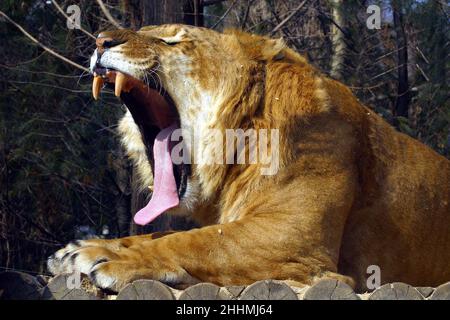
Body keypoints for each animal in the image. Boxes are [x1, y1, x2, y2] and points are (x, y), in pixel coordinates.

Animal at [46, 23, 450, 292]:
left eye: (172, 39)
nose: (101, 40)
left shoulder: (299, 242)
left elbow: (199, 241)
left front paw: (116, 261)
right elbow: (163, 232)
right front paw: (81, 249)